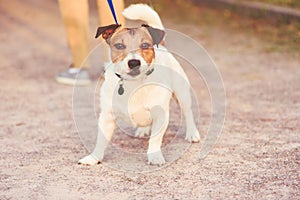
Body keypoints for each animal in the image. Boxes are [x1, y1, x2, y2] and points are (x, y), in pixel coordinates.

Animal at [78, 3, 199, 166]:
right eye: (119, 46)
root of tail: (162, 46)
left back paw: (192, 133)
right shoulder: (107, 116)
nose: (134, 62)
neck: (133, 84)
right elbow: (101, 140)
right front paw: (94, 157)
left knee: (188, 113)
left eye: (145, 45)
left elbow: (155, 140)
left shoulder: (161, 115)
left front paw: (155, 156)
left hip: (182, 94)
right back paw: (143, 130)